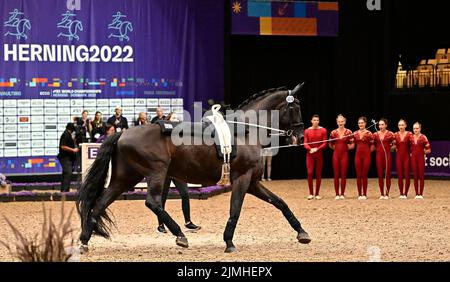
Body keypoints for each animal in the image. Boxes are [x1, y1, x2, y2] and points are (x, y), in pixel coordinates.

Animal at [77, 82, 312, 252]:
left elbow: (280, 203)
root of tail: (122, 133)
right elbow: (235, 210)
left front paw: (302, 232)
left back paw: (84, 241)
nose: (301, 136)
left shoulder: (253, 182)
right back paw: (180, 235)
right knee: (152, 202)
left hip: (124, 178)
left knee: (99, 204)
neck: (246, 131)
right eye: (296, 106)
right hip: (155, 173)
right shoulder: (242, 179)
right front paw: (229, 243)